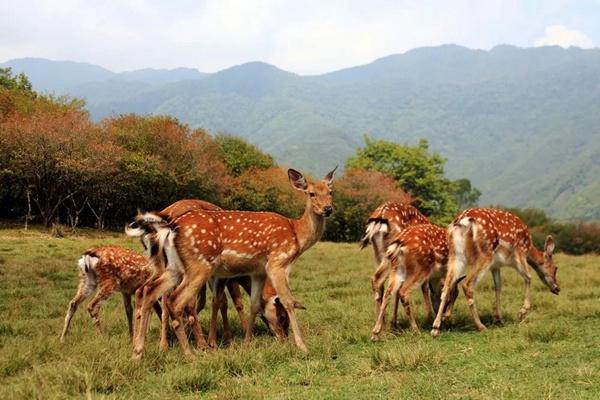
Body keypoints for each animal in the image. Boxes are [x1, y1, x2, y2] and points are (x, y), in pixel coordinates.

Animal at [129, 167, 336, 358]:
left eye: (330, 192)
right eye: (311, 193)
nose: (328, 209)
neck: (296, 235)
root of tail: (171, 226)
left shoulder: (258, 271)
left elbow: (254, 304)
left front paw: (247, 343)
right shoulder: (277, 262)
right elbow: (288, 301)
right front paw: (302, 346)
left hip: (174, 267)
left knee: (149, 291)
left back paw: (138, 352)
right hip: (200, 265)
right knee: (176, 301)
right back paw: (190, 353)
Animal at [428, 208, 560, 336]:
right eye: (555, 268)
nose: (557, 288)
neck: (529, 248)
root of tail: (463, 221)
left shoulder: (496, 266)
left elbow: (498, 287)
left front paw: (499, 318)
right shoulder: (519, 254)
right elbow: (528, 277)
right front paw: (521, 312)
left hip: (456, 254)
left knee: (447, 286)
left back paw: (436, 328)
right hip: (485, 253)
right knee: (467, 284)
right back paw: (480, 326)